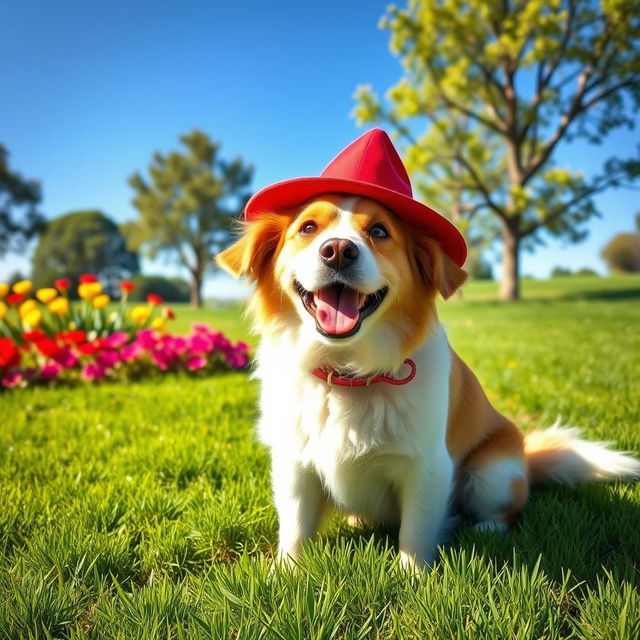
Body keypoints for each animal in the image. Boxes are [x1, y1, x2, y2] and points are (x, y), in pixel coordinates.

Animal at [216, 129, 640, 568]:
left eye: (379, 231)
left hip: (494, 472)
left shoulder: (428, 466)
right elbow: (296, 526)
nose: (338, 250)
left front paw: (413, 575)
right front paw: (287, 572)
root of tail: (526, 455)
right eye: (308, 227)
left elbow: (416, 530)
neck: (347, 373)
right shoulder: (294, 463)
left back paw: (486, 530)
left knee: (505, 511)